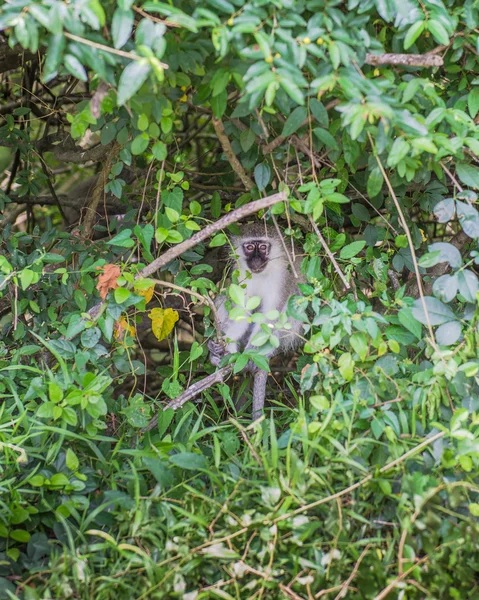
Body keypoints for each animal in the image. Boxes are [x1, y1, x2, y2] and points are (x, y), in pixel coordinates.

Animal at [208, 221, 306, 422]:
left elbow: (271, 316)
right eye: (249, 247)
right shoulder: (242, 276)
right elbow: (241, 313)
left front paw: (249, 354)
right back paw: (219, 354)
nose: (255, 261)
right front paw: (224, 350)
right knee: (224, 297)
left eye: (262, 247)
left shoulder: (283, 277)